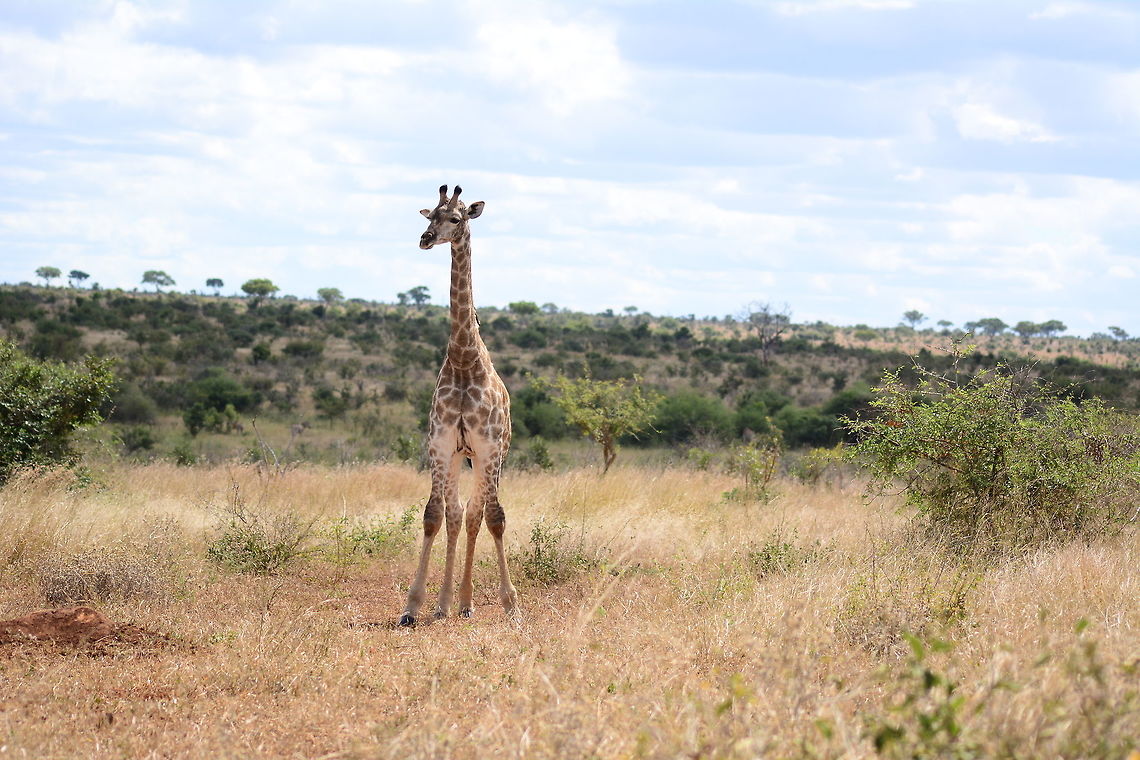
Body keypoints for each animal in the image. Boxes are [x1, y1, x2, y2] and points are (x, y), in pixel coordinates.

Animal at [399, 184, 518, 626]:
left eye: (456, 218)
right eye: (429, 215)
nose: (426, 238)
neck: (465, 359)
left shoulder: (487, 447)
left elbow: (494, 519)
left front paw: (511, 603)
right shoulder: (440, 445)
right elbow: (434, 516)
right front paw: (414, 605)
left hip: (489, 459)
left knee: (475, 515)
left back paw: (466, 602)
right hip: (457, 457)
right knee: (456, 515)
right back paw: (449, 602)